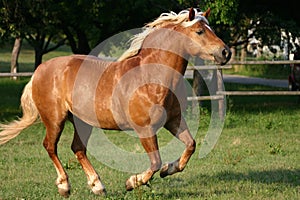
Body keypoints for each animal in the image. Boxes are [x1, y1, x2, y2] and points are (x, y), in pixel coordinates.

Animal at [0, 7, 231, 197]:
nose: (225, 52)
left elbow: (190, 146)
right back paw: (65, 186)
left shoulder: (173, 121)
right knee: (50, 146)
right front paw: (132, 182)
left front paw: (169, 169)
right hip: (55, 119)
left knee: (78, 148)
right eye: (199, 31)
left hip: (82, 122)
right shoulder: (145, 129)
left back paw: (98, 186)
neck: (151, 77)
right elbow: (155, 162)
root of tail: (40, 70)